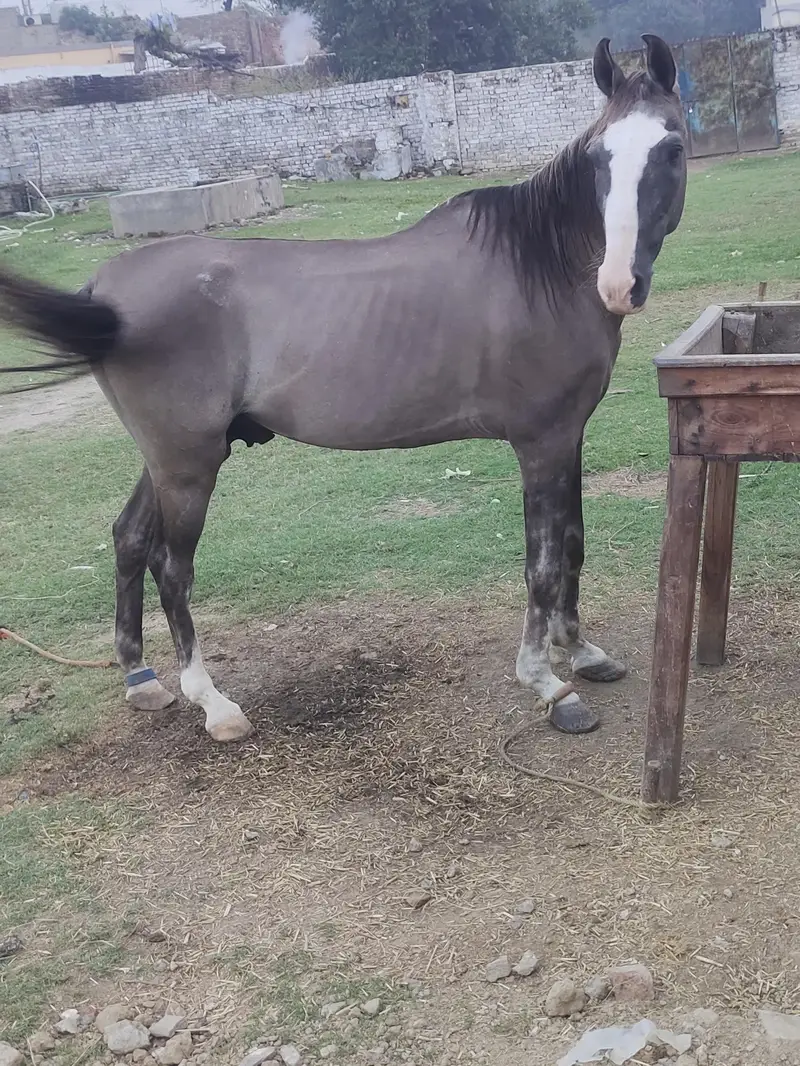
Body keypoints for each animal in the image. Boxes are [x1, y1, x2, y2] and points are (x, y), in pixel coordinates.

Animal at [0, 35, 688, 744]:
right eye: (600, 157)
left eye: (672, 148)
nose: (619, 284)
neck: (541, 266)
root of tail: (102, 294)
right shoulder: (539, 443)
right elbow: (543, 563)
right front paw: (548, 683)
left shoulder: (568, 435)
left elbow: (572, 541)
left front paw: (581, 651)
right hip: (188, 467)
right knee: (172, 565)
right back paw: (212, 702)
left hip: (172, 459)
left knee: (130, 537)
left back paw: (141, 679)